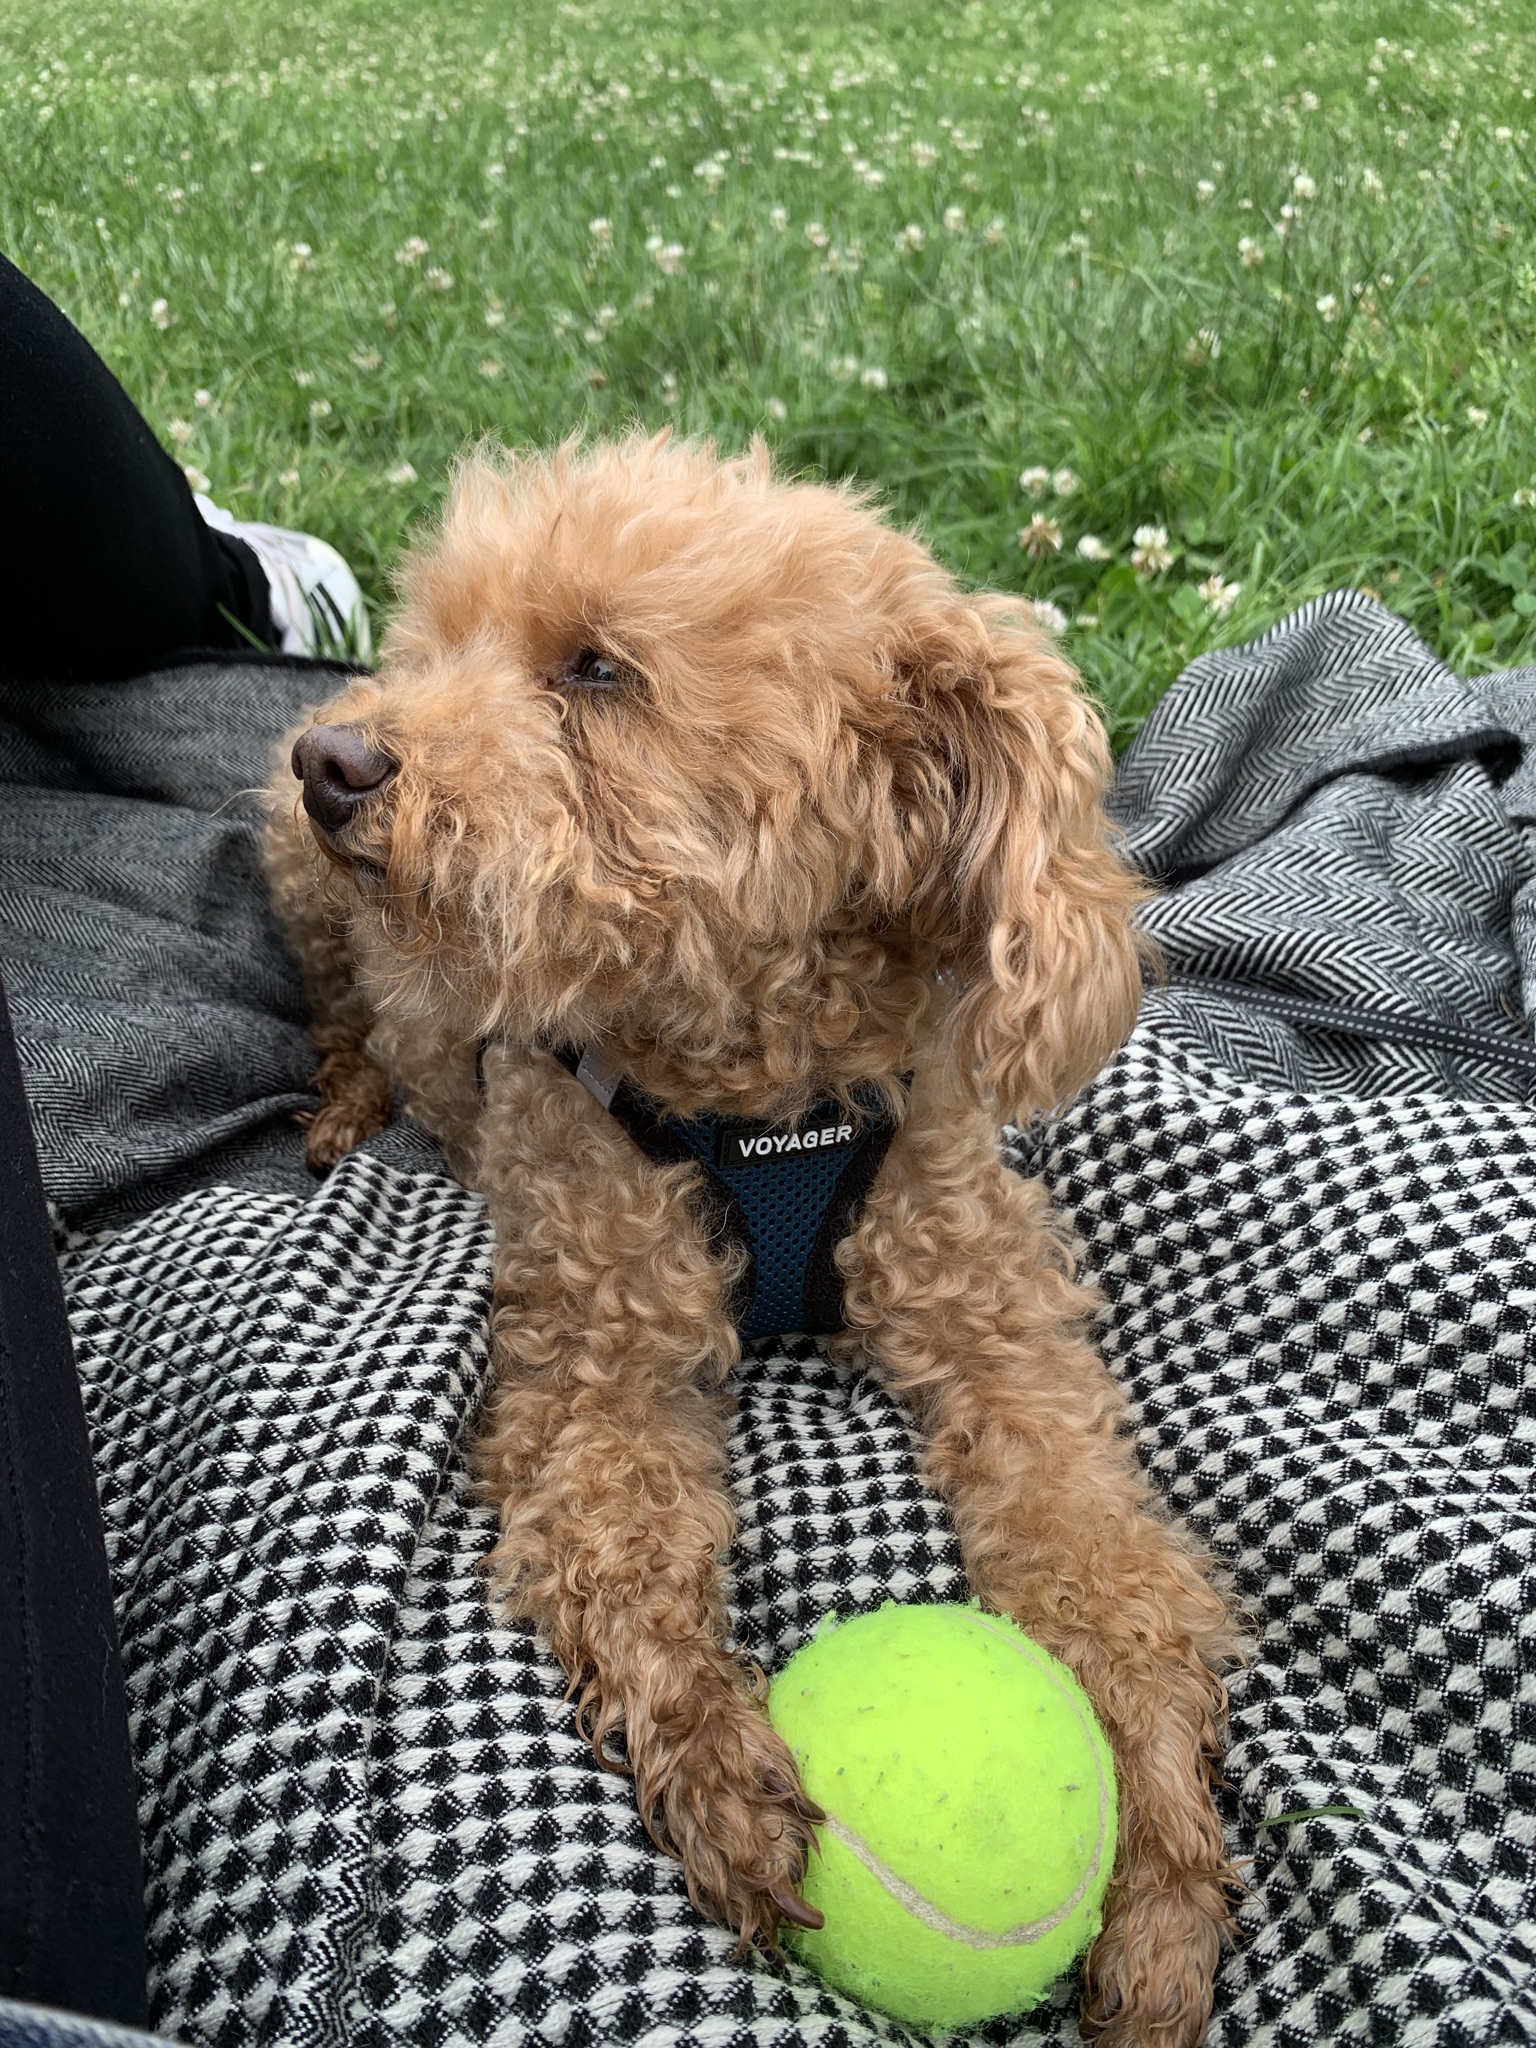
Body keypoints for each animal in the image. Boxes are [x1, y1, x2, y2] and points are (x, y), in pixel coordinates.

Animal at [268, 432, 1253, 2048]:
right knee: (346, 1011)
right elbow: (625, 1542)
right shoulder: (598, 1355)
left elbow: (1107, 1566)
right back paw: (348, 1100)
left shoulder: (998, 1332)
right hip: (308, 899)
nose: (337, 760)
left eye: (597, 670)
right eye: (441, 639)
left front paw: (1164, 1863)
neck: (761, 1087)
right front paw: (721, 1767)